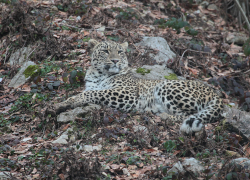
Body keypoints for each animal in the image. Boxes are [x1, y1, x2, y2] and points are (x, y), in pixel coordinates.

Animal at [51, 39, 224, 134]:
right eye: (106, 51)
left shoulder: (127, 94)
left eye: (120, 52)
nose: (115, 61)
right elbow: (90, 92)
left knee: (190, 114)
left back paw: (163, 116)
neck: (99, 74)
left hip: (166, 86)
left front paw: (64, 103)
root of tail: (216, 94)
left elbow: (92, 94)